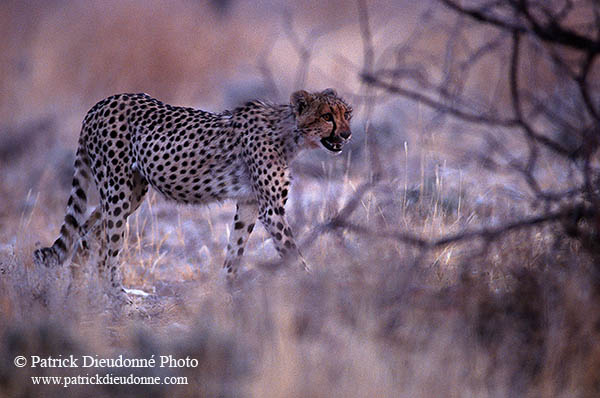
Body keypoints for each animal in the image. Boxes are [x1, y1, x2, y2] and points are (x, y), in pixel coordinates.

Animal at [32, 88, 352, 300]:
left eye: (347, 114)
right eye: (327, 116)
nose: (347, 134)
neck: (290, 134)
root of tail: (100, 104)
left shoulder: (249, 203)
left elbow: (235, 250)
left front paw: (227, 289)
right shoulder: (271, 209)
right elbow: (293, 252)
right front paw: (314, 287)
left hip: (133, 190)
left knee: (86, 230)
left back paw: (76, 294)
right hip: (118, 190)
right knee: (107, 248)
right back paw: (115, 295)